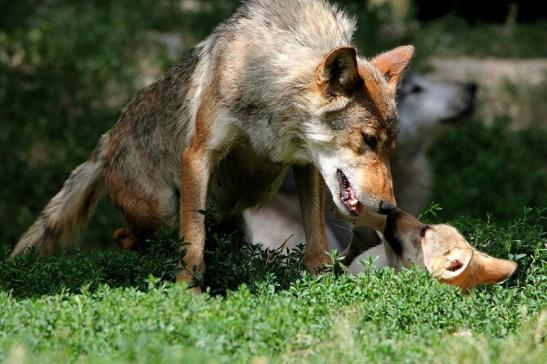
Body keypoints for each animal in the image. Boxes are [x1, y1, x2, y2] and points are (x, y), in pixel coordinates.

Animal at [10, 0, 414, 288]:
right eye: (367, 140)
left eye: (390, 148)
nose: (389, 208)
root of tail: (109, 138)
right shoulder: (199, 154)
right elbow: (193, 240)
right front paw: (188, 291)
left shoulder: (305, 164)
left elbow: (316, 239)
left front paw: (320, 282)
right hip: (163, 210)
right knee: (128, 237)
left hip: (233, 224)